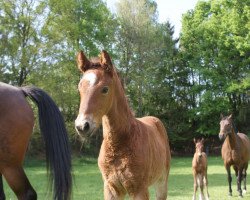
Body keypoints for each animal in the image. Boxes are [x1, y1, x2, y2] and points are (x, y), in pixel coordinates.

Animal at [74, 50, 172, 199]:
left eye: (105, 89)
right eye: (80, 87)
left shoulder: (139, 189)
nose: (82, 126)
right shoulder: (111, 188)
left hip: (162, 182)